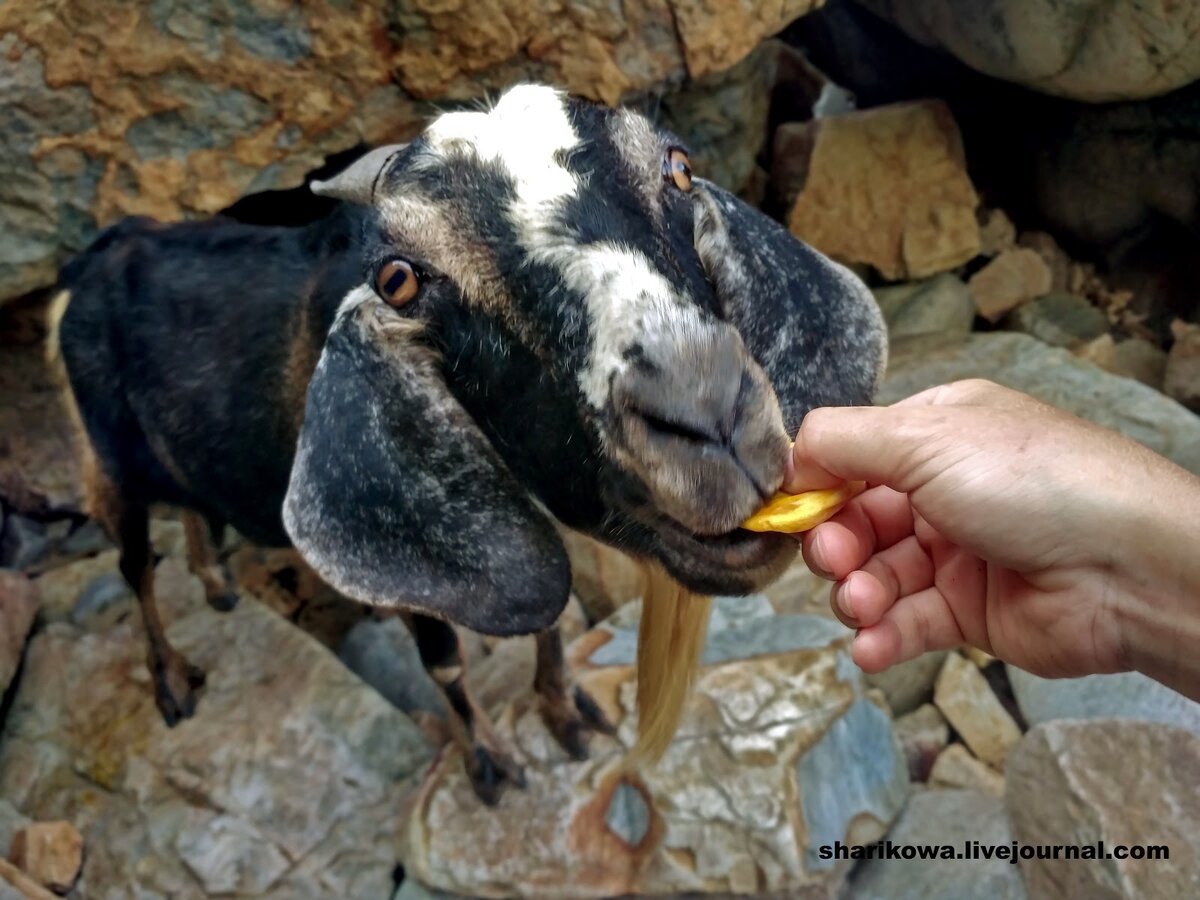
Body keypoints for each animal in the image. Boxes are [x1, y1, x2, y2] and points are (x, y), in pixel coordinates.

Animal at [51, 84, 888, 801]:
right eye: (398, 279)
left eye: (678, 169)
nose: (709, 411)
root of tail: (102, 252)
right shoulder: (412, 570)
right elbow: (447, 661)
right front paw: (490, 759)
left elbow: (552, 618)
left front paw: (565, 708)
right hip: (106, 461)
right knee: (134, 566)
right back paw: (170, 678)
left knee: (191, 506)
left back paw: (217, 581)